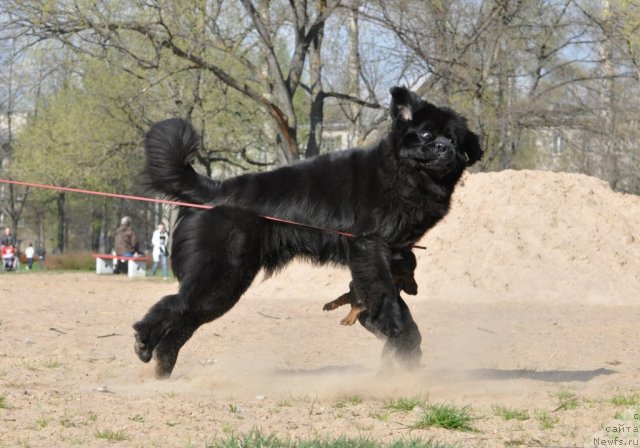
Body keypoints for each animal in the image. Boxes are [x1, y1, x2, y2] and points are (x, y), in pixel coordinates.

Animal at [132, 86, 480, 376]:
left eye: (454, 139)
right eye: (426, 133)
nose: (443, 148)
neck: (402, 175)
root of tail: (213, 190)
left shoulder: (387, 253)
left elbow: (387, 293)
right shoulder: (369, 245)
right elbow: (383, 292)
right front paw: (394, 327)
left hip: (224, 284)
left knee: (183, 320)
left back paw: (161, 367)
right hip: (222, 275)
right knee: (174, 304)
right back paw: (144, 341)